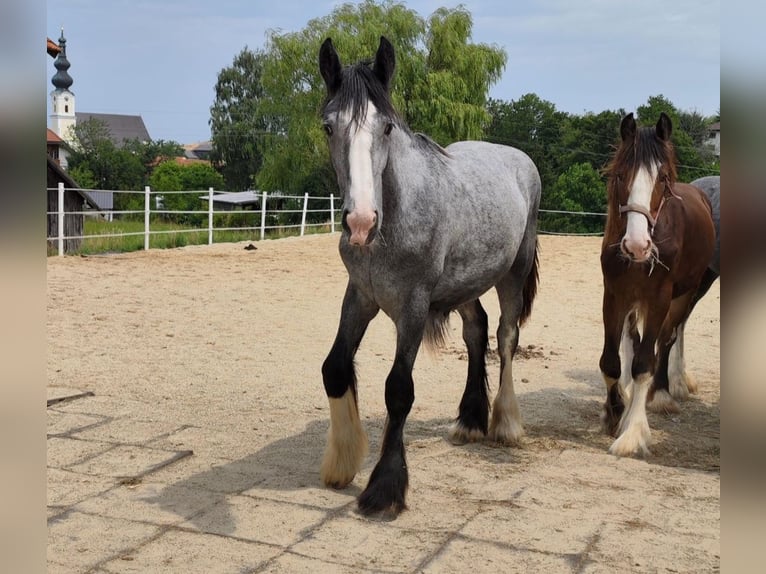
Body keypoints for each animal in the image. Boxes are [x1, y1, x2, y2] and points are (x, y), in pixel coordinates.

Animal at [320, 38, 544, 520]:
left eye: (386, 127)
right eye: (329, 127)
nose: (361, 222)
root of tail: (518, 158)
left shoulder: (413, 306)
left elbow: (398, 390)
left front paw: (384, 488)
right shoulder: (360, 296)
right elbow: (335, 368)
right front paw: (341, 462)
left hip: (512, 274)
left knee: (506, 336)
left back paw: (505, 422)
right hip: (465, 283)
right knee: (477, 330)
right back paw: (470, 419)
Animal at [604, 113, 716, 460]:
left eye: (662, 178)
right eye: (621, 175)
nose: (637, 246)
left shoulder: (658, 299)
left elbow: (644, 364)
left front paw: (633, 432)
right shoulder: (614, 295)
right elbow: (611, 361)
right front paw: (615, 411)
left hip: (686, 294)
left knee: (666, 339)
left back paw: (665, 392)